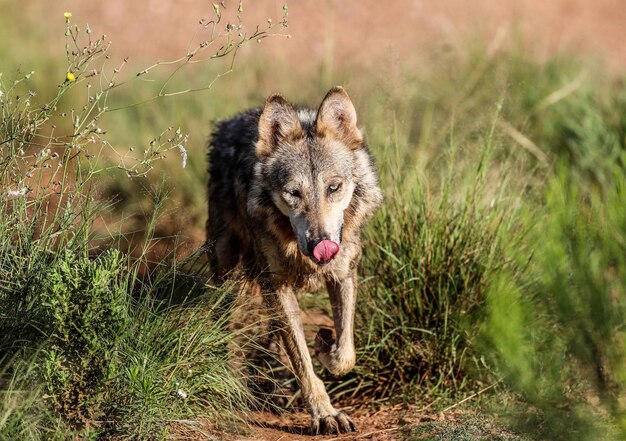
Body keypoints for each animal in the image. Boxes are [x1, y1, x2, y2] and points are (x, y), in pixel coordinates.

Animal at [206, 85, 380, 434]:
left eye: (333, 187)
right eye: (293, 193)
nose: (320, 244)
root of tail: (229, 121)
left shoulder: (344, 275)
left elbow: (346, 355)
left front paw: (326, 346)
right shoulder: (278, 287)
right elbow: (302, 363)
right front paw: (325, 414)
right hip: (228, 270)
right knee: (225, 318)